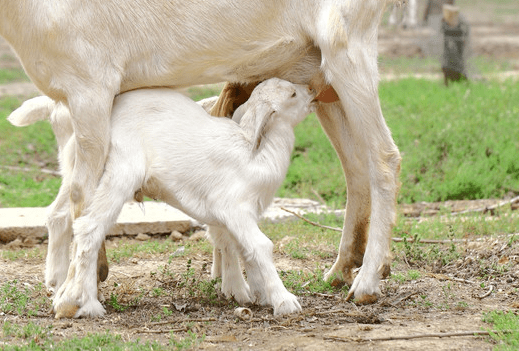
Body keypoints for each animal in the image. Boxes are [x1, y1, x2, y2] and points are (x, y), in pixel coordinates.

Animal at [8, 79, 316, 320]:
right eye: (292, 94)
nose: (313, 90)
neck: (257, 155)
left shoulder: (236, 215)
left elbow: (239, 248)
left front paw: (254, 293)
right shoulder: (233, 208)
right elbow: (260, 246)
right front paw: (284, 301)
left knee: (66, 217)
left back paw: (64, 289)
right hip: (118, 172)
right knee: (88, 226)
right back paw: (83, 303)